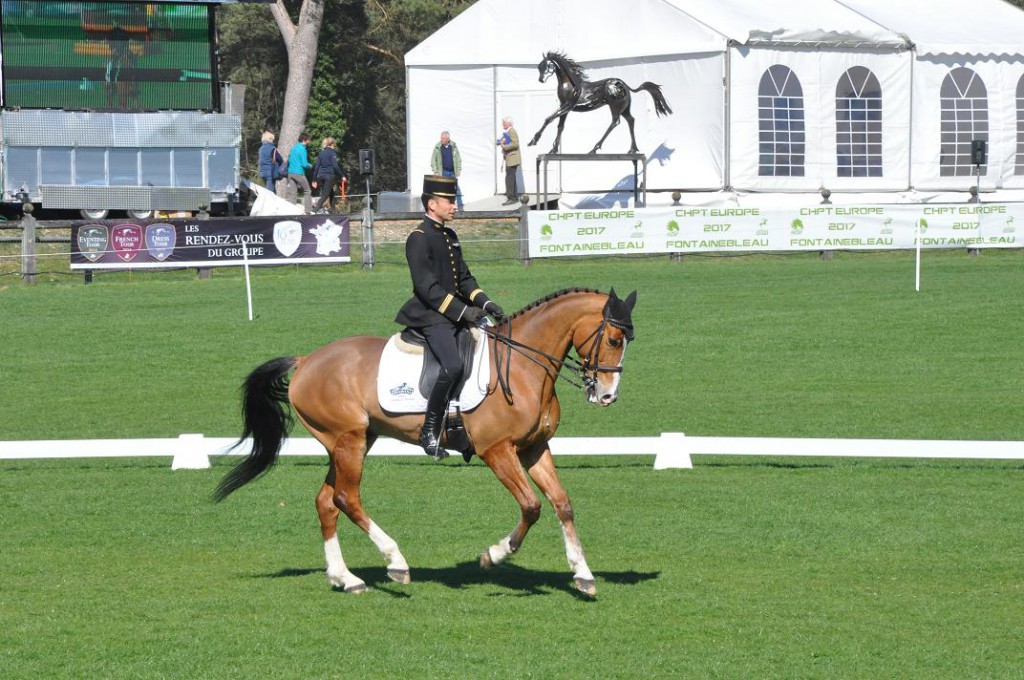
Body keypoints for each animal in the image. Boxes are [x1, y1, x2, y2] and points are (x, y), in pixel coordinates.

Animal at [212, 286, 634, 593]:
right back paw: (395, 562)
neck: (523, 368)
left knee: (326, 502)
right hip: (347, 440)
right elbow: (531, 506)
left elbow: (563, 504)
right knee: (346, 498)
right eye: (614, 340)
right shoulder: (497, 451)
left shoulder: (533, 449)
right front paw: (494, 555)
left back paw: (345, 578)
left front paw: (583, 574)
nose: (607, 396)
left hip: (351, 441)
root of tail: (305, 361)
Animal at [528, 51, 671, 155]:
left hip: (615, 107)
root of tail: (623, 85)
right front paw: (552, 150)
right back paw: (632, 150)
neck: (570, 85)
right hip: (624, 108)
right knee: (631, 120)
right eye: (539, 67)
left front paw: (533, 141)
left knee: (615, 122)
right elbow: (560, 126)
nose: (541, 80)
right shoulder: (564, 108)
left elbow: (549, 119)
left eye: (548, 66)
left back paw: (594, 149)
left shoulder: (567, 106)